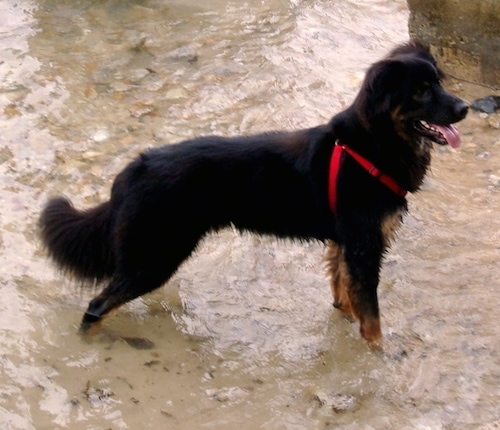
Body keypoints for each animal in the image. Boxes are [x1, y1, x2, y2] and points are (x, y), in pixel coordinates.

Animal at [39, 42, 468, 346]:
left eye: (439, 82)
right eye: (421, 90)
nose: (465, 108)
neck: (371, 144)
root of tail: (134, 168)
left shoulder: (344, 243)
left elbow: (344, 290)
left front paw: (346, 318)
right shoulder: (365, 245)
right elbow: (373, 315)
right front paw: (380, 352)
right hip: (155, 256)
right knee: (97, 306)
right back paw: (94, 344)